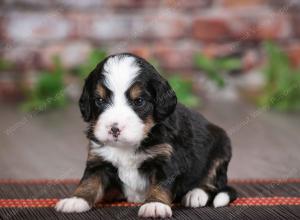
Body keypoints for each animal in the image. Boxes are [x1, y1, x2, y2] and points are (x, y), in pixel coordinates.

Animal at [55, 53, 236, 218]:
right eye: (100, 100)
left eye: (139, 101)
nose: (114, 129)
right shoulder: (99, 159)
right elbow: (89, 181)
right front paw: (76, 200)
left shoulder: (167, 160)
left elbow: (161, 184)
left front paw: (155, 205)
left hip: (221, 147)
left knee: (212, 182)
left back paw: (195, 194)